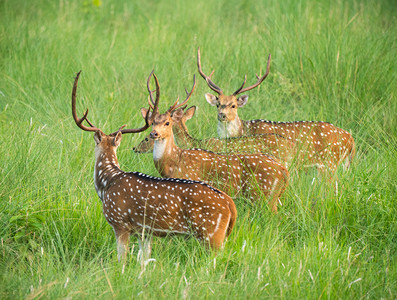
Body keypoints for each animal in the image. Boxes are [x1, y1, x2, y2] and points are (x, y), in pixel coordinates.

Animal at [70, 71, 235, 262]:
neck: (107, 183)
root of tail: (230, 204)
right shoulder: (145, 232)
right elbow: (144, 260)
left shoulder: (119, 223)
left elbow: (122, 259)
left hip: (211, 234)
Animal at [142, 71, 288, 212]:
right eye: (152, 122)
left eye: (167, 122)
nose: (153, 133)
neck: (173, 162)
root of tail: (284, 171)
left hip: (265, 196)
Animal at [198, 47, 356, 172]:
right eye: (218, 103)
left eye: (233, 105)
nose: (222, 115)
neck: (242, 130)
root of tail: (351, 139)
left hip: (330, 161)